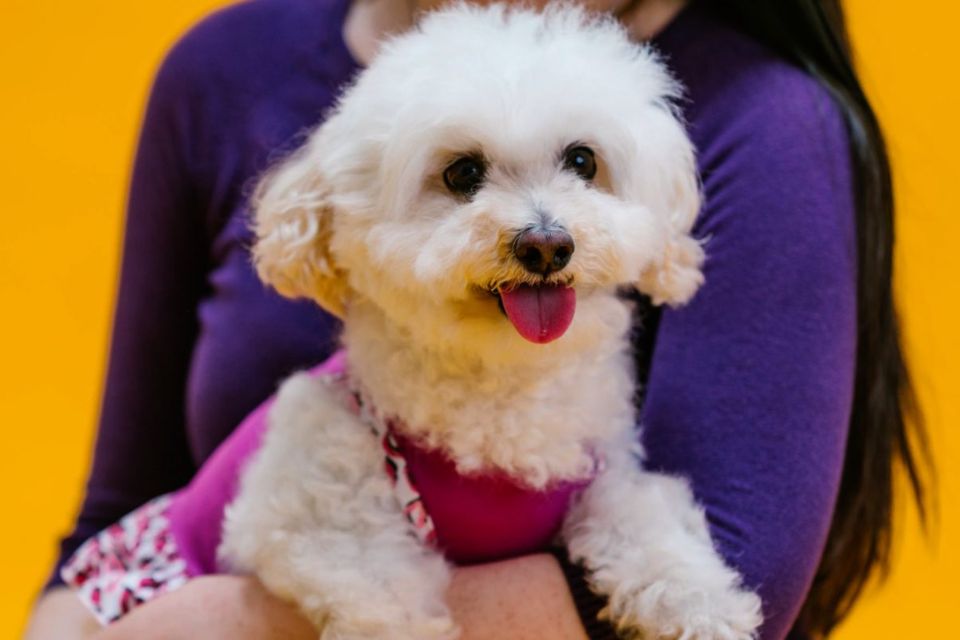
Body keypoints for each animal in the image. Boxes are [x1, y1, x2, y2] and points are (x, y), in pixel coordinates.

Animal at [221, 5, 760, 640]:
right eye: (461, 173)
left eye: (583, 160)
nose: (547, 245)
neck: (504, 390)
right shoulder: (323, 515)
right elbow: (381, 594)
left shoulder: (607, 474)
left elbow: (645, 521)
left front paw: (702, 603)